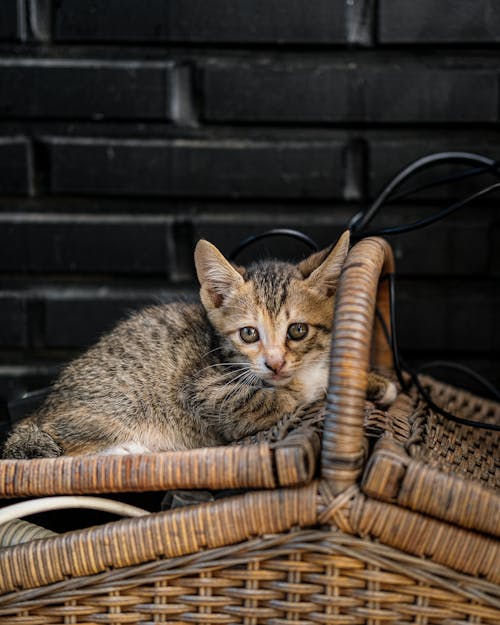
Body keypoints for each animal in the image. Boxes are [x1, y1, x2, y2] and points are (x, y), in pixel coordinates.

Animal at [2, 230, 394, 458]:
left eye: (297, 330)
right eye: (249, 334)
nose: (274, 363)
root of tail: (42, 408)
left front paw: (374, 382)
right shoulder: (209, 391)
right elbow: (288, 396)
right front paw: (311, 386)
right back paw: (127, 450)